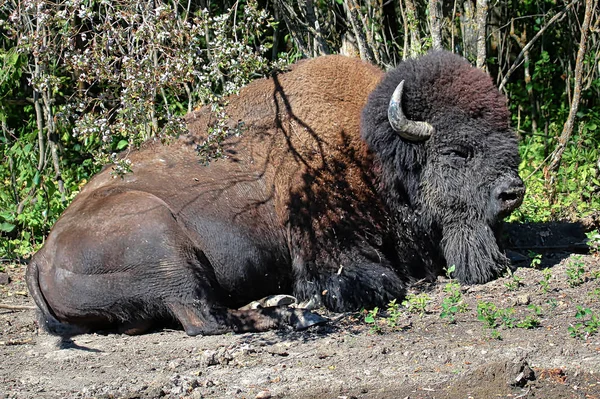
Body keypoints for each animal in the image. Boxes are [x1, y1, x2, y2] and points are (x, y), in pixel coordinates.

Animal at [27, 50, 524, 338]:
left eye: (508, 139)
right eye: (457, 150)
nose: (512, 191)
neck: (372, 149)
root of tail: (41, 257)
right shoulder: (330, 256)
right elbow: (376, 283)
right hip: (163, 243)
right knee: (204, 318)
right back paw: (294, 314)